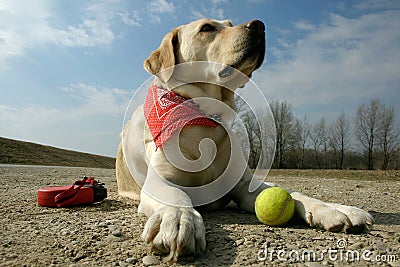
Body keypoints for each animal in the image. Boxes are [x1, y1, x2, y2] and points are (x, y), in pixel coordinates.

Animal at [116, 19, 376, 264]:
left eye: (230, 24)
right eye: (207, 28)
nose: (259, 25)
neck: (208, 119)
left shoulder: (244, 185)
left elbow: (292, 193)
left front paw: (332, 209)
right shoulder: (160, 179)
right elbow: (175, 196)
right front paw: (179, 219)